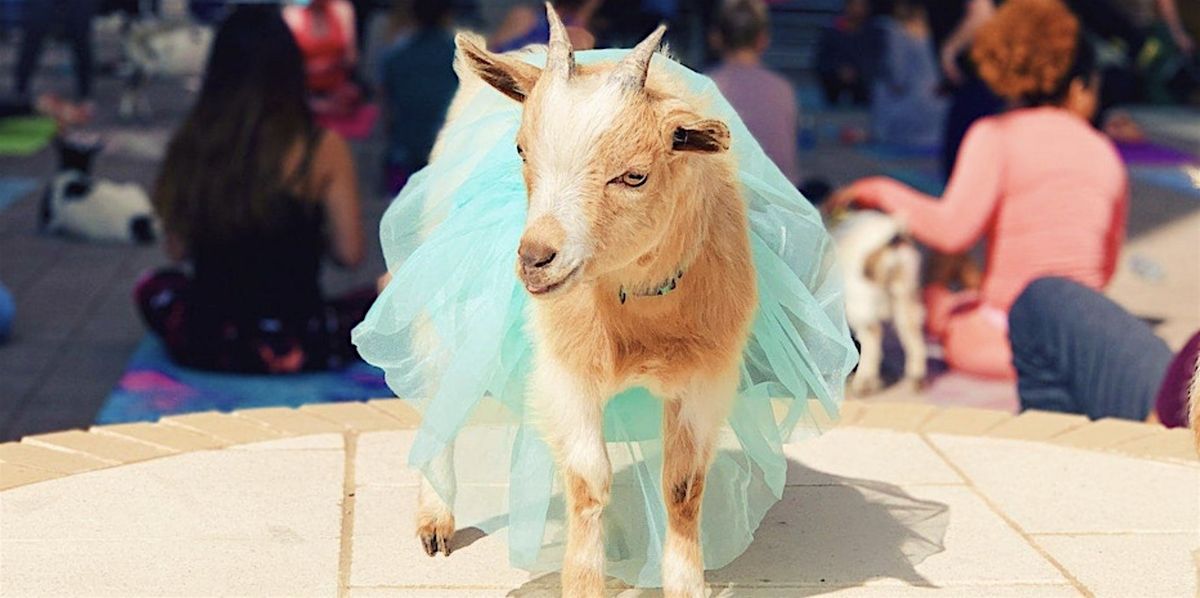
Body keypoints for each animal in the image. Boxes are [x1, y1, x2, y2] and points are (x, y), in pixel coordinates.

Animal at [420, 5, 758, 598]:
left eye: (635, 175)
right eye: (521, 150)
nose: (535, 258)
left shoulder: (706, 376)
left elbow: (683, 486)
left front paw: (684, 583)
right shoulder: (567, 371)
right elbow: (587, 479)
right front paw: (582, 582)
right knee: (442, 394)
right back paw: (436, 519)